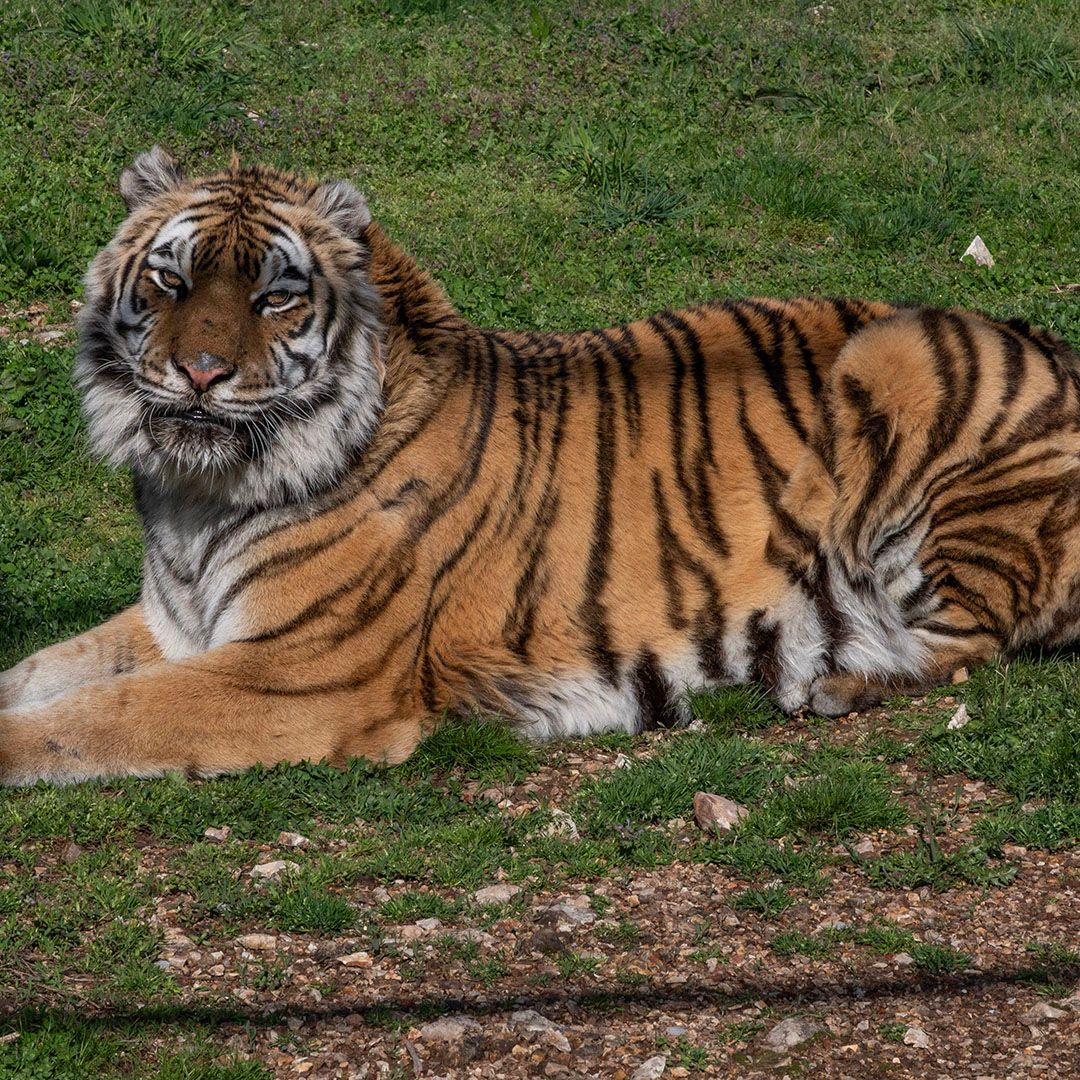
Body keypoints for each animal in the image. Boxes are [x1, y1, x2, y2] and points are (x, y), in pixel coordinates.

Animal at [2, 146, 1079, 786]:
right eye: (170, 280)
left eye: (274, 298)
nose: (200, 373)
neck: (198, 490)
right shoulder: (175, 624)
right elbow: (40, 672)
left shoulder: (295, 674)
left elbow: (93, 717)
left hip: (902, 365)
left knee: (968, 635)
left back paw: (830, 678)